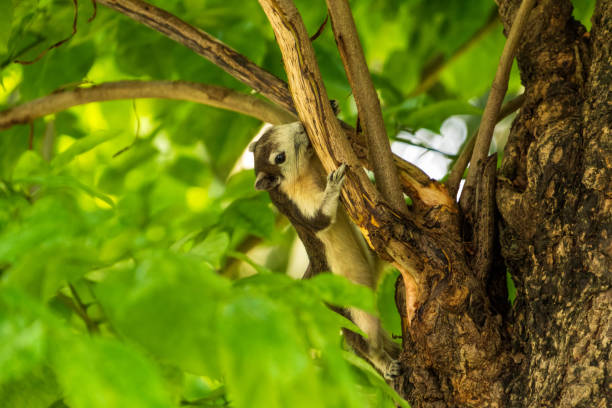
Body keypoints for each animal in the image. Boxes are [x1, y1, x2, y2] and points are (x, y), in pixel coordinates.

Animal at [249, 121, 402, 380]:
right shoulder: (298, 204)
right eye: (279, 157)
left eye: (276, 128)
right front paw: (333, 184)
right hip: (351, 311)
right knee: (364, 344)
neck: (305, 174)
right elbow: (320, 218)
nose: (301, 126)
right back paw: (384, 363)